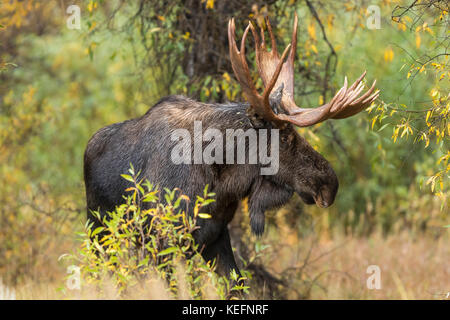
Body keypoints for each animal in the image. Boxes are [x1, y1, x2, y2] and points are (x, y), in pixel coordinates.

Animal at [82, 13, 378, 278]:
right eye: (284, 137)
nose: (330, 184)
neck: (222, 181)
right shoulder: (165, 237)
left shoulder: (216, 236)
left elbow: (236, 283)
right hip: (98, 228)